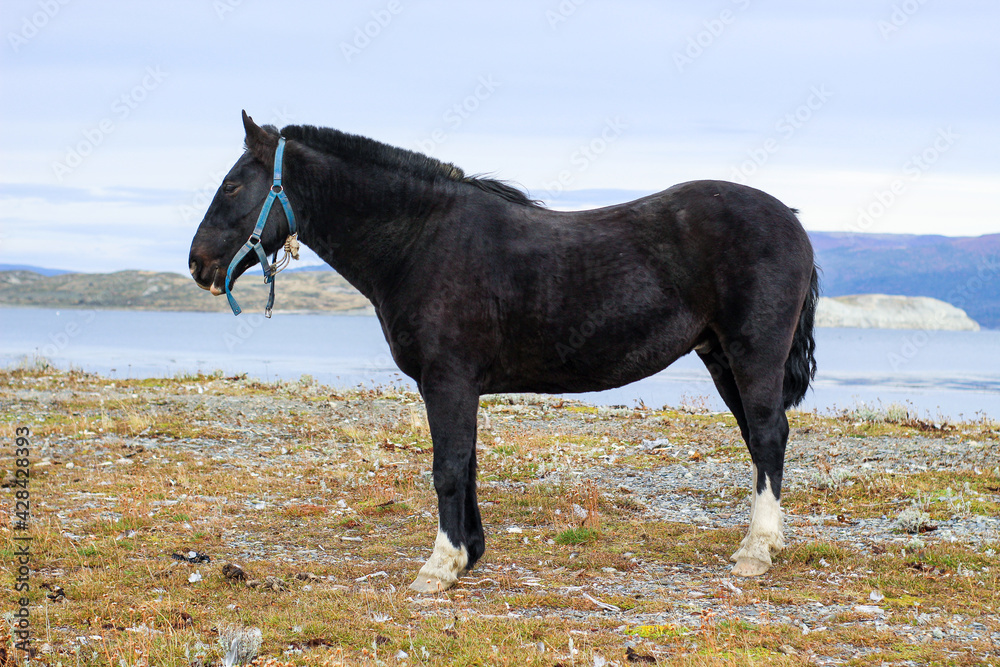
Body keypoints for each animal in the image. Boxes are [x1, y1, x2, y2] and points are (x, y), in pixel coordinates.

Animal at [191, 115, 816, 596]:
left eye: (232, 187)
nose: (197, 264)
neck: (421, 241)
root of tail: (790, 218)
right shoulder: (455, 386)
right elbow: (465, 464)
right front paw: (470, 552)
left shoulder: (447, 380)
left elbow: (446, 468)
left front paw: (439, 567)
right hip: (720, 357)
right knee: (761, 440)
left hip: (752, 354)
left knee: (767, 437)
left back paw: (756, 551)